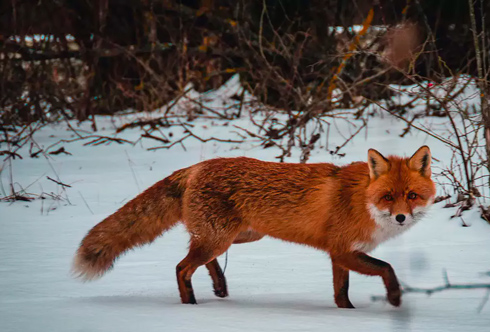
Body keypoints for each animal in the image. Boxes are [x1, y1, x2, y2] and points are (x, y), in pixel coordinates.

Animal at [73, 147, 436, 308]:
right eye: (388, 196)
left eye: (412, 196)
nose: (401, 218)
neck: (363, 200)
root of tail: (196, 166)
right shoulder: (343, 250)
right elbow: (387, 268)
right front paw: (394, 298)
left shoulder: (339, 255)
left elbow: (340, 292)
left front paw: (346, 314)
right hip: (222, 237)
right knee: (181, 267)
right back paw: (190, 306)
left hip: (238, 236)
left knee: (198, 257)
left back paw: (219, 287)